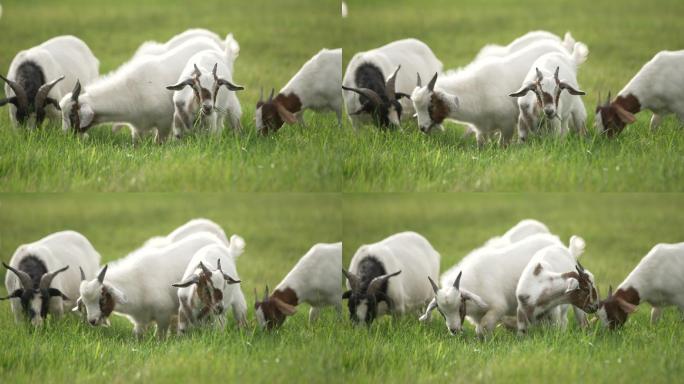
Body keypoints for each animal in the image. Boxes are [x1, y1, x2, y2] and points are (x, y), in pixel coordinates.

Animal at [60, 36, 222, 144]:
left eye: (72, 115)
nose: (65, 137)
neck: (131, 91)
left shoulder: (164, 123)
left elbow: (159, 143)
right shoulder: (138, 128)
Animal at [75, 231, 224, 340]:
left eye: (102, 298)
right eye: (85, 303)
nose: (92, 321)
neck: (137, 283)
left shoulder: (163, 316)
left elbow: (160, 337)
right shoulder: (140, 321)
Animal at [408, 40, 584, 146]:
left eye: (430, 105)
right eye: (417, 107)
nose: (422, 128)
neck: (477, 91)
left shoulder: (507, 125)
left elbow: (502, 145)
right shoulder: (481, 129)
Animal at [416, 231, 560, 336]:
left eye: (460, 307)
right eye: (441, 311)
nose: (454, 330)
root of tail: (553, 240)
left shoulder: (497, 308)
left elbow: (483, 328)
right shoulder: (478, 316)